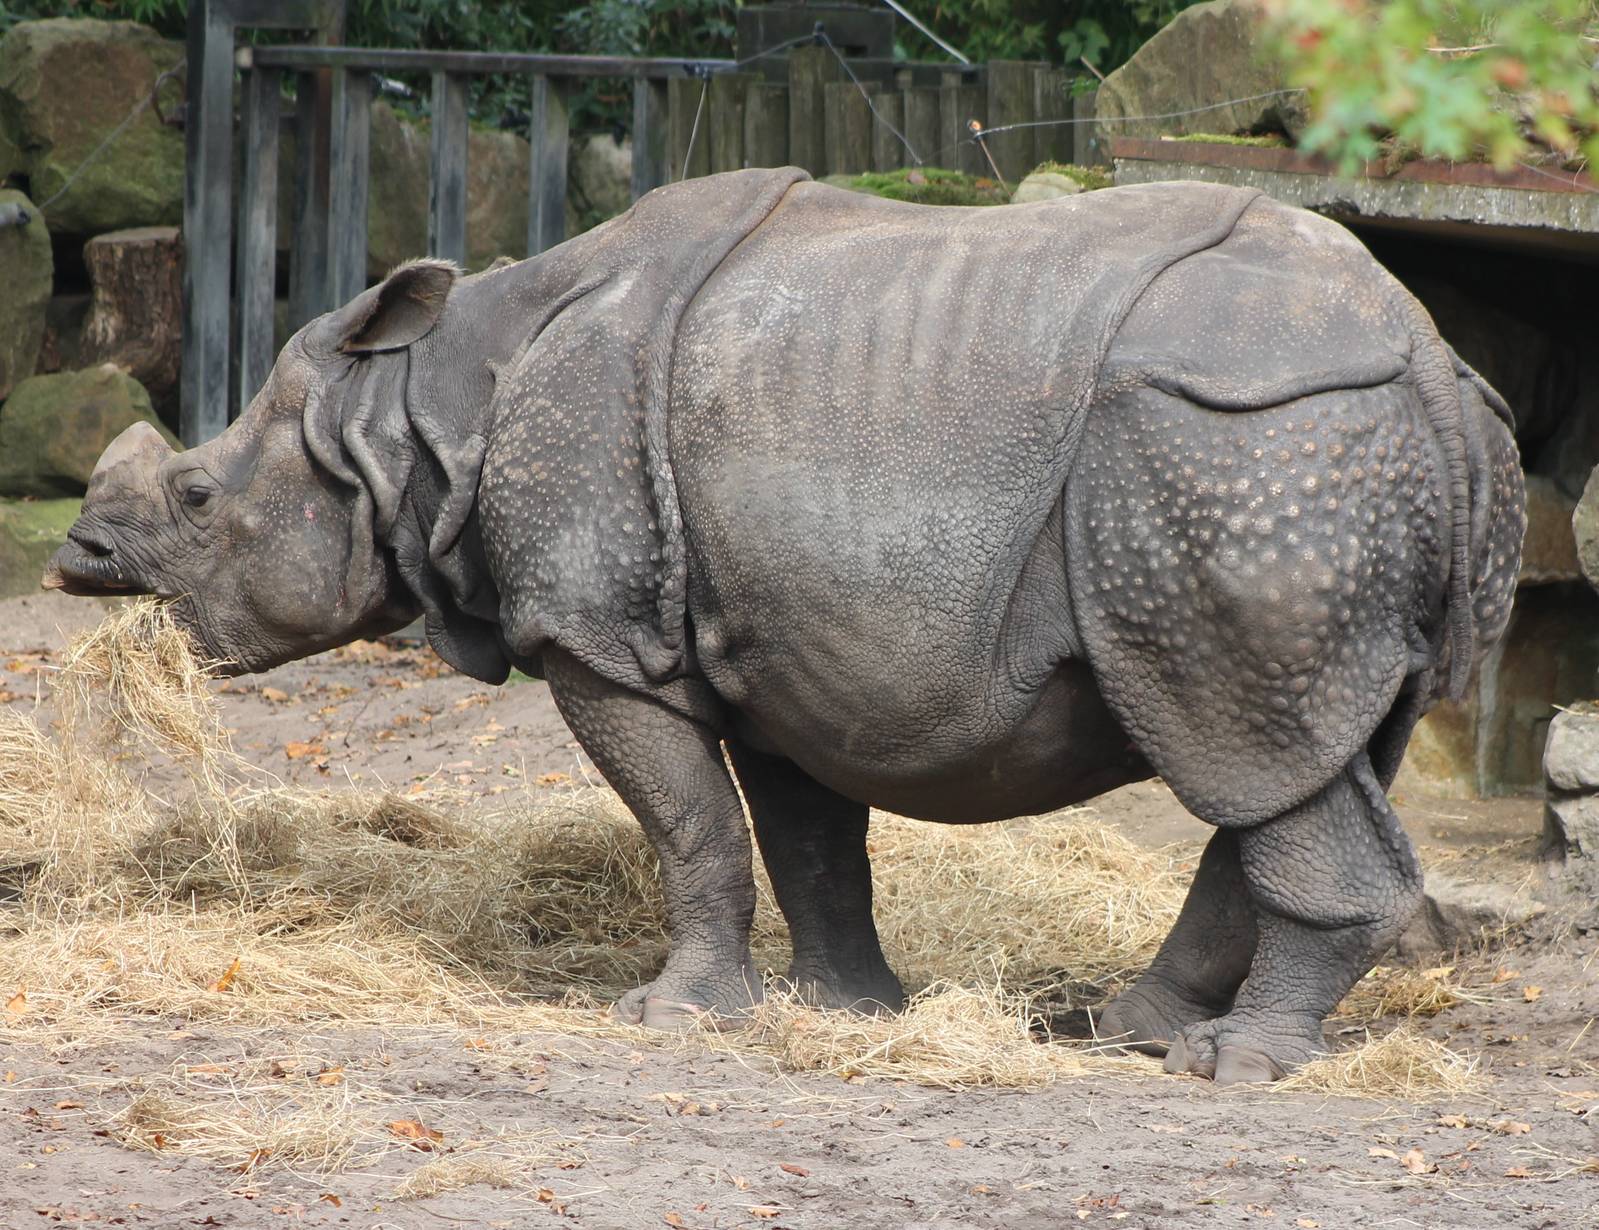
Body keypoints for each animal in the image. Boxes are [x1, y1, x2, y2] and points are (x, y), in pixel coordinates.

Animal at [45, 169, 1525, 1083]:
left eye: (197, 497)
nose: (76, 559)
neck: (408, 409)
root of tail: (1437, 368)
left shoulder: (602, 635)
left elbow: (689, 824)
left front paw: (668, 1015)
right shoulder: (774, 642)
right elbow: (810, 837)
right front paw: (842, 1010)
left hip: (1243, 450)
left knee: (1239, 740)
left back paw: (1233, 1066)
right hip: (1308, 467)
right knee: (1298, 752)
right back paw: (1122, 1031)